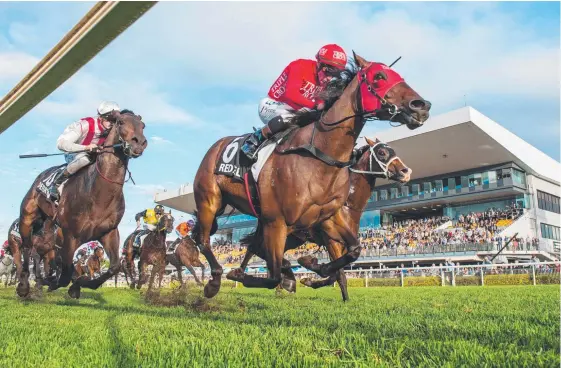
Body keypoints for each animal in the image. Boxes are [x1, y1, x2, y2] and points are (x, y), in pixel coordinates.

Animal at [16, 110, 147, 300]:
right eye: (121, 122)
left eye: (142, 125)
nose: (140, 143)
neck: (99, 194)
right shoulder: (70, 235)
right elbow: (65, 273)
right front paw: (54, 283)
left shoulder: (108, 232)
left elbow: (113, 267)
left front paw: (81, 285)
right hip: (27, 218)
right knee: (27, 249)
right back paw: (24, 286)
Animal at [234, 137, 410, 300]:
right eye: (382, 152)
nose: (406, 171)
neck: (347, 204)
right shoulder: (331, 240)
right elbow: (339, 273)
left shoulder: (343, 242)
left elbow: (335, 273)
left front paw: (310, 277)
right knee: (254, 249)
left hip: (292, 238)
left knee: (266, 253)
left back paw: (282, 282)